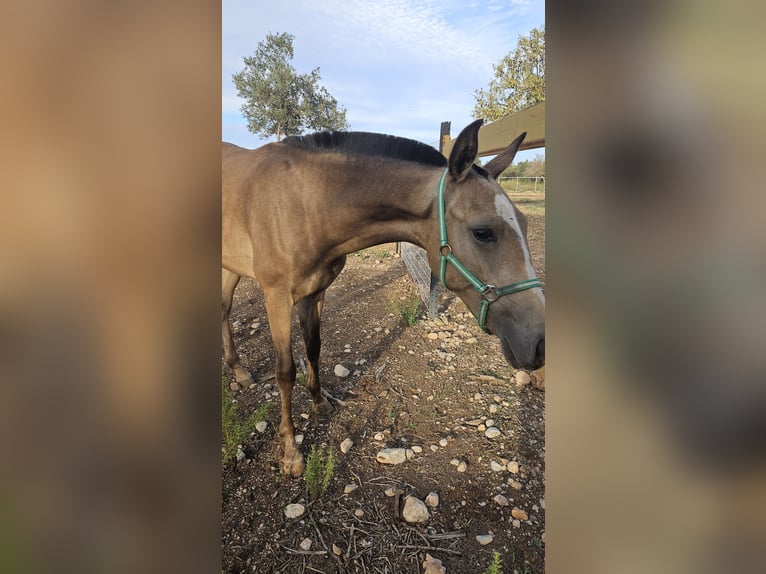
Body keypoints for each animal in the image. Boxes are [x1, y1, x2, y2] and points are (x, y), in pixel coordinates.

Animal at [222, 120, 544, 476]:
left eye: (525, 223)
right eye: (483, 232)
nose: (539, 342)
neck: (305, 205)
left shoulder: (315, 294)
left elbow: (314, 349)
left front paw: (320, 403)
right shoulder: (276, 297)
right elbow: (285, 372)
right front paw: (292, 453)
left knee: (223, 310)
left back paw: (239, 371)